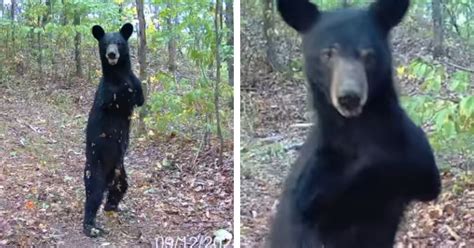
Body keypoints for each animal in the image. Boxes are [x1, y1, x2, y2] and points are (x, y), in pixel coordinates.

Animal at [82, 23, 144, 238]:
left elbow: (140, 96)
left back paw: (113, 206)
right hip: (96, 167)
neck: (119, 73)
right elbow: (115, 97)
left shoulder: (136, 86)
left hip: (121, 172)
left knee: (120, 187)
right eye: (105, 43)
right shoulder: (106, 94)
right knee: (93, 194)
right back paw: (91, 227)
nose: (111, 54)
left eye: (118, 42)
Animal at [268, 0, 442, 248]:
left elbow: (422, 176)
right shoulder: (310, 191)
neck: (359, 129)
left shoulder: (415, 155)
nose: (349, 97)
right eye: (327, 53)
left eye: (368, 54)